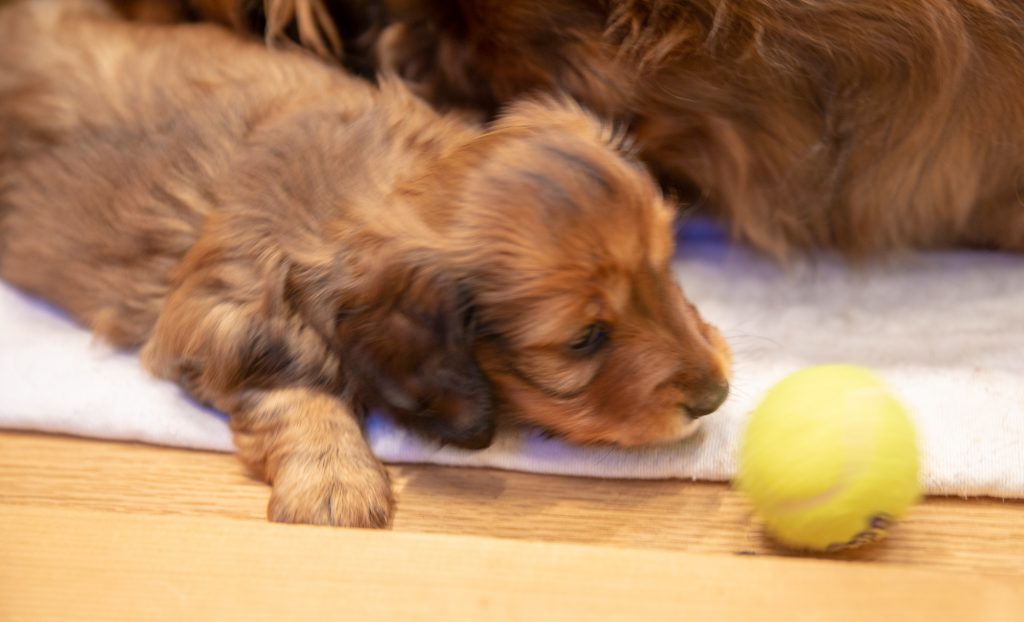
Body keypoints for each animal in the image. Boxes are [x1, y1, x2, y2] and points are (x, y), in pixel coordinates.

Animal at [4, 0, 733, 528]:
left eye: (665, 270)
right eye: (584, 339)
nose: (718, 394)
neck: (373, 183)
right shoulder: (220, 315)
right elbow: (297, 390)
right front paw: (335, 481)